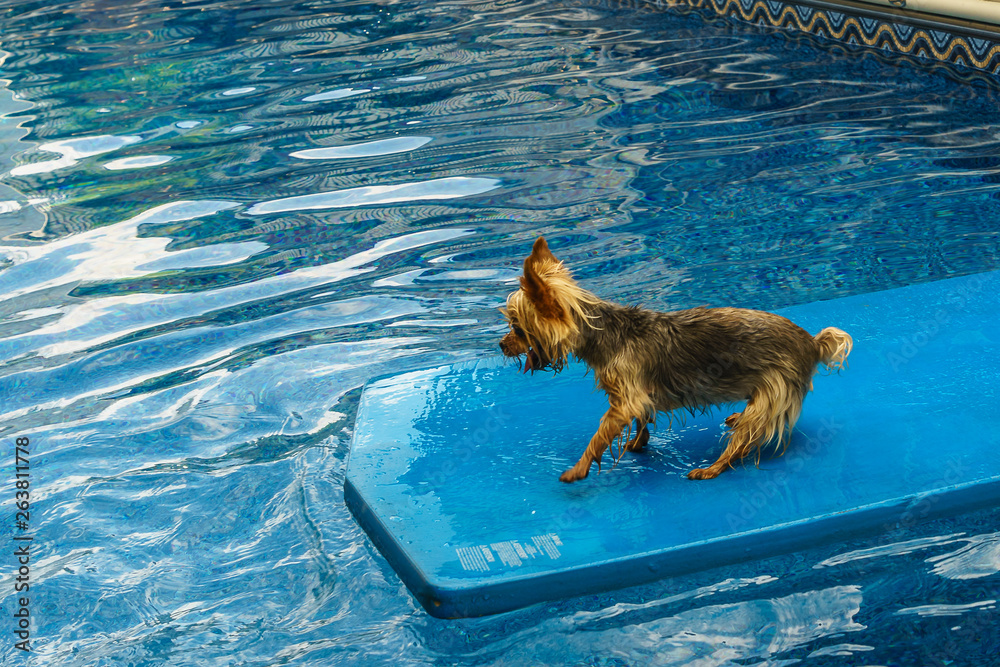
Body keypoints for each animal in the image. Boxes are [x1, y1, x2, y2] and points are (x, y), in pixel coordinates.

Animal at [500, 237, 852, 482]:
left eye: (517, 327)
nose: (501, 344)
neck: (602, 333)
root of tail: (812, 343)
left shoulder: (624, 400)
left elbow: (599, 437)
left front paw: (578, 469)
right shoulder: (639, 395)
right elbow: (642, 417)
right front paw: (638, 443)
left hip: (774, 390)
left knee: (742, 442)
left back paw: (711, 468)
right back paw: (736, 418)